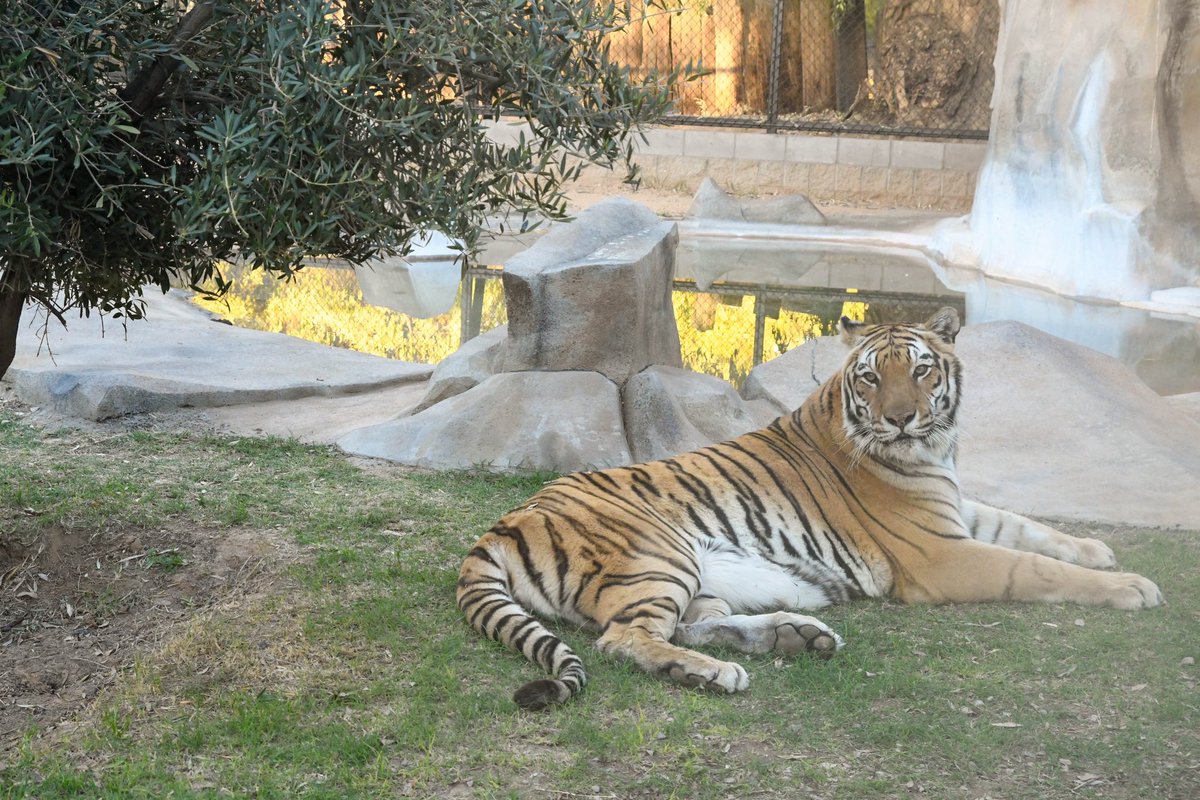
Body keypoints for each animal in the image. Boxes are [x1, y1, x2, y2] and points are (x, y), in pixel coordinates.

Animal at [457, 307, 1163, 710]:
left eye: (923, 371)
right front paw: (1132, 586)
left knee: (687, 624)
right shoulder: (939, 554)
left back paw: (795, 636)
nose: (900, 419)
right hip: (660, 556)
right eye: (873, 376)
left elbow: (1027, 526)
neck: (933, 451)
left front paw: (1097, 549)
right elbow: (1031, 567)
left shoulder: (954, 509)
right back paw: (716, 675)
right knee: (623, 639)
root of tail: (501, 525)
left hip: (699, 577)